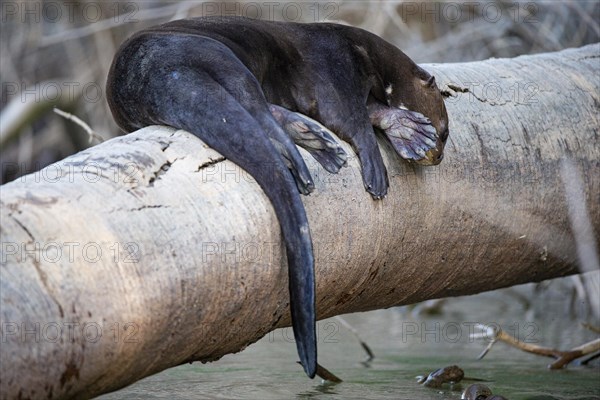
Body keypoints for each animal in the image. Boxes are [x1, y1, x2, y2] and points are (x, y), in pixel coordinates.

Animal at [105, 15, 448, 378]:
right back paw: (308, 152)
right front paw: (378, 168)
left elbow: (371, 111)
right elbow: (351, 119)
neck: (363, 52)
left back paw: (314, 141)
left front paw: (410, 131)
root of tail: (146, 76)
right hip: (218, 56)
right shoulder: (334, 70)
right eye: (445, 133)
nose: (439, 155)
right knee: (257, 110)